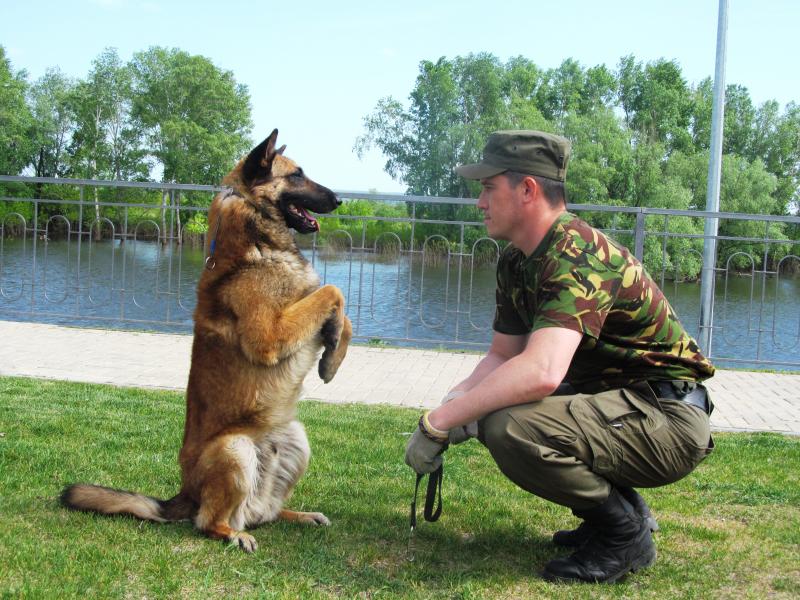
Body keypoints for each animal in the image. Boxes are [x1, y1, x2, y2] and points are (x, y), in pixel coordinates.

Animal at [61, 129, 348, 552]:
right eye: (296, 174)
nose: (340, 200)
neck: (256, 236)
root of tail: (185, 494)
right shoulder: (269, 336)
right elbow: (332, 290)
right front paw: (331, 345)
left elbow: (338, 307)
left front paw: (332, 353)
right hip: (235, 450)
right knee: (209, 522)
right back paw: (233, 534)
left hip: (296, 439)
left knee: (265, 513)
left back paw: (300, 515)